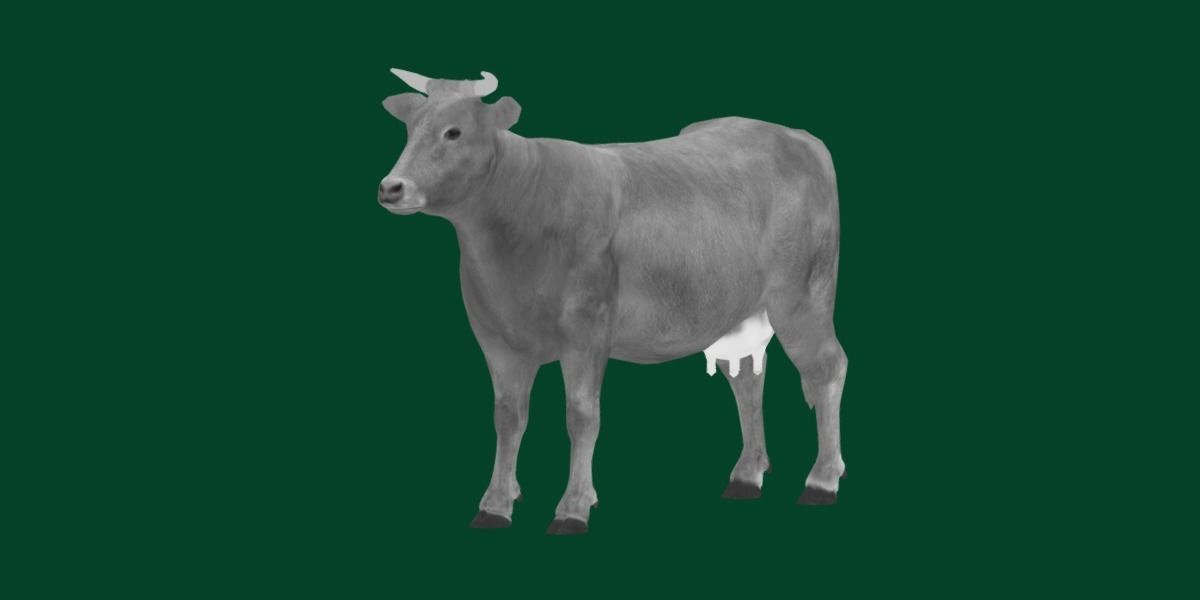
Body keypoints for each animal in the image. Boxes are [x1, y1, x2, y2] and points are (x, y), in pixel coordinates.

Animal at [378, 69, 847, 535]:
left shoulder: (586, 331)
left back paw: (822, 480)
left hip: (802, 295)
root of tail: (796, 136)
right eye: (409, 128)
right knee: (747, 376)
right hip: (737, 308)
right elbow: (508, 417)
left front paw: (573, 508)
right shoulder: (496, 336)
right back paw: (747, 475)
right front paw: (496, 504)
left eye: (454, 131)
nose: (390, 188)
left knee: (827, 367)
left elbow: (582, 415)